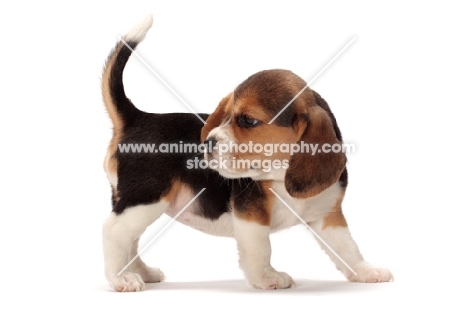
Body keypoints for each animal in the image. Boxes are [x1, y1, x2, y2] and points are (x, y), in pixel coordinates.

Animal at [101, 15, 392, 292]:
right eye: (227, 115)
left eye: (248, 121)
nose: (207, 142)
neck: (280, 174)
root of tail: (137, 118)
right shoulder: (251, 216)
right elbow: (261, 248)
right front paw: (266, 277)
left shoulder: (328, 216)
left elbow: (347, 247)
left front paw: (365, 271)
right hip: (144, 199)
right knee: (114, 232)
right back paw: (121, 278)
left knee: (130, 239)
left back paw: (142, 272)